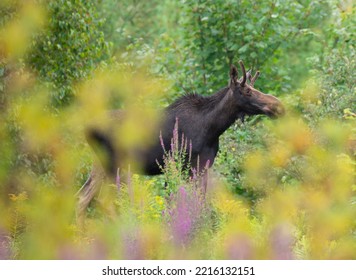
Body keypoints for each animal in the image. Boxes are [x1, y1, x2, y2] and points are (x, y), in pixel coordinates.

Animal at [77, 61, 284, 218]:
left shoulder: (203, 165)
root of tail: (87, 129)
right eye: (247, 92)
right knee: (107, 201)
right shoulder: (183, 164)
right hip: (117, 164)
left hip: (99, 165)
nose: (278, 106)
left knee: (82, 198)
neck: (213, 127)